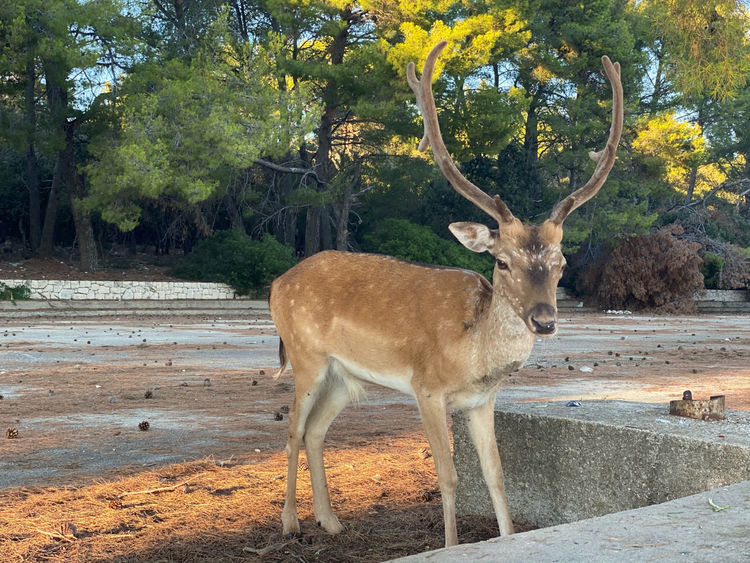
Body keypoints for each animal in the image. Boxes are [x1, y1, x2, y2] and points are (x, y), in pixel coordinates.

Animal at [268, 40, 624, 552]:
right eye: (502, 262)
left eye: (561, 264)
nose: (544, 320)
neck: (470, 353)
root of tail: (277, 283)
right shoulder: (427, 388)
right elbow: (449, 476)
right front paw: (451, 544)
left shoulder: (481, 401)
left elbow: (496, 476)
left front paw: (506, 535)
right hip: (305, 356)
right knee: (292, 429)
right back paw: (290, 522)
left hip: (344, 376)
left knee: (316, 431)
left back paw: (330, 521)